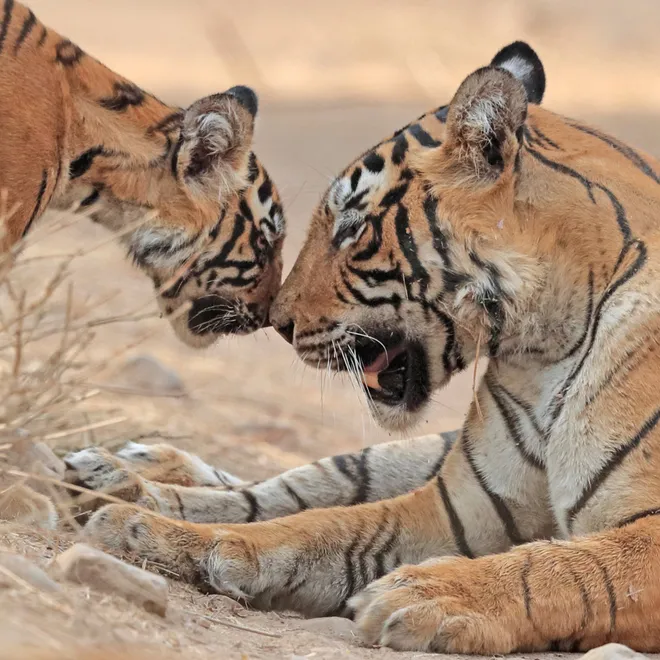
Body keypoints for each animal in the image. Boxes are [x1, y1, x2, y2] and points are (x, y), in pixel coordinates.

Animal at [66, 40, 660, 654]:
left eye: (350, 228)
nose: (278, 322)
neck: (544, 350)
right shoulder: (458, 509)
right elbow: (314, 526)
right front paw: (154, 532)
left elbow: (563, 568)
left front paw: (429, 595)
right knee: (295, 486)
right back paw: (121, 479)